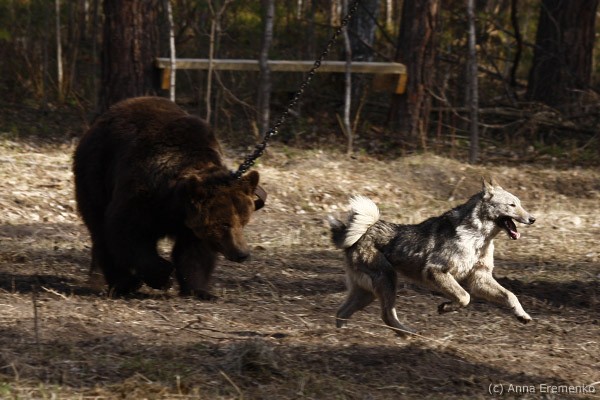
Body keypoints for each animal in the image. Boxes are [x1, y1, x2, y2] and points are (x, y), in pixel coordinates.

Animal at [73, 96, 266, 299]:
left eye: (243, 221)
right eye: (224, 224)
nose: (242, 253)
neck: (174, 205)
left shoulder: (191, 224)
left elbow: (194, 253)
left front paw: (199, 289)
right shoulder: (142, 195)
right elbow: (125, 230)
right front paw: (163, 275)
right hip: (96, 171)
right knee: (100, 228)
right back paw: (123, 283)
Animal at [328, 178, 536, 336]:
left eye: (520, 204)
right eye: (512, 205)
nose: (533, 219)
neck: (478, 237)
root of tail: (361, 233)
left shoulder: (480, 279)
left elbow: (510, 295)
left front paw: (522, 315)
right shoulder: (437, 271)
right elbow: (464, 297)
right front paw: (446, 307)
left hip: (367, 292)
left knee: (342, 312)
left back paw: (342, 335)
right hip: (387, 282)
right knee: (386, 315)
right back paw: (407, 334)